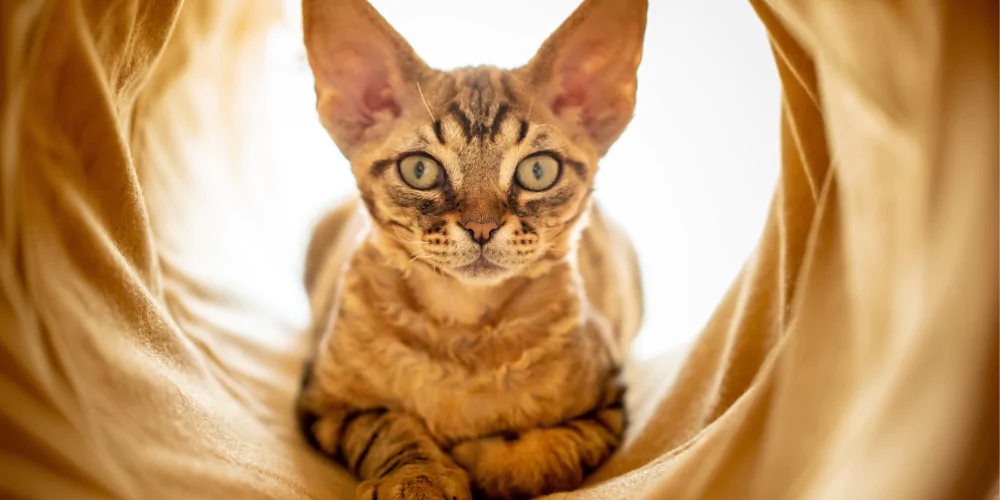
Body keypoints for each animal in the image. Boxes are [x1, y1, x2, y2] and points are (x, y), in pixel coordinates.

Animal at [292, 0, 644, 496]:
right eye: (420, 170)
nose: (481, 227)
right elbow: (386, 425)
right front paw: (419, 478)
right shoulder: (323, 402)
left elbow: (547, 457)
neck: (462, 332)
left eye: (538, 171)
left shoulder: (609, 405)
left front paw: (480, 460)